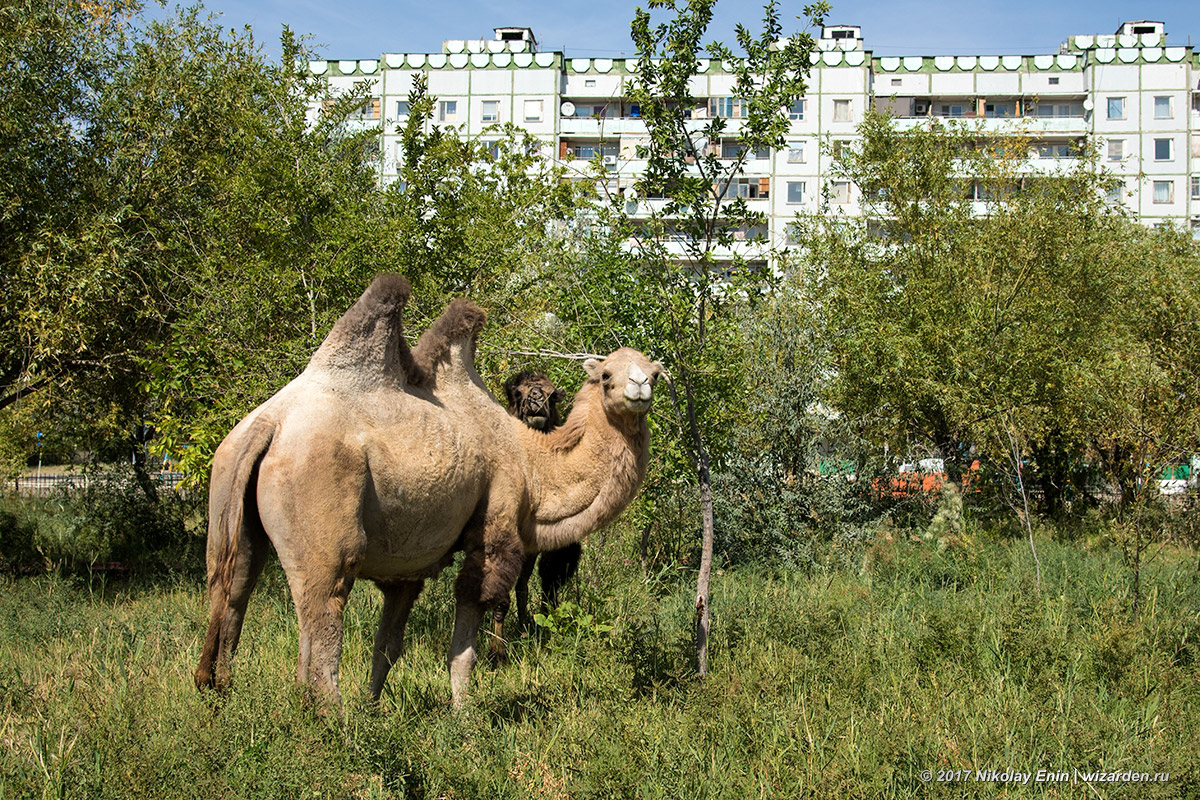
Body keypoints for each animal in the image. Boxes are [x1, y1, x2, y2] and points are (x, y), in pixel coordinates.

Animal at [196, 277, 667, 705]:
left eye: (655, 373)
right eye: (606, 374)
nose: (639, 385)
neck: (532, 465)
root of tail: (268, 424)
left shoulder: (409, 561)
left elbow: (388, 645)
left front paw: (374, 708)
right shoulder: (495, 522)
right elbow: (469, 632)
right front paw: (463, 715)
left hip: (229, 501)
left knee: (235, 588)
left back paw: (224, 693)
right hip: (321, 513)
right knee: (323, 613)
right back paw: (334, 723)